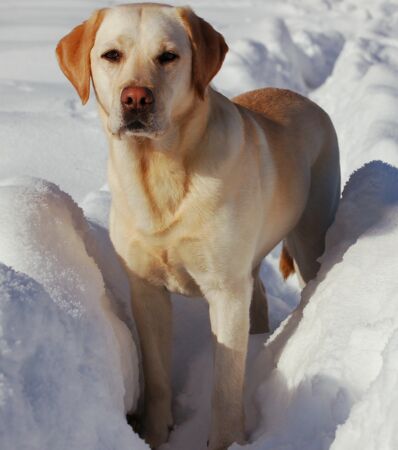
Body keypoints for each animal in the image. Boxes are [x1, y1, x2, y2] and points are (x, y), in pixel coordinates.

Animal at [57, 3, 340, 450]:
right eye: (111, 55)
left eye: (168, 56)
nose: (136, 98)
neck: (159, 172)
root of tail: (303, 98)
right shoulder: (146, 290)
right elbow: (157, 377)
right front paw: (155, 435)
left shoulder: (225, 291)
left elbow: (225, 386)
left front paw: (225, 441)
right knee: (258, 295)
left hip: (310, 236)